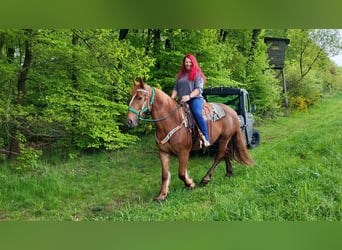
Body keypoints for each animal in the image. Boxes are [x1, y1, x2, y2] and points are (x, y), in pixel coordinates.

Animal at [126, 78, 254, 201]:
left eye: (139, 97)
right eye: (131, 96)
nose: (129, 121)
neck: (171, 120)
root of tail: (233, 112)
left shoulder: (184, 152)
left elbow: (181, 173)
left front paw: (190, 184)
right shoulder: (163, 152)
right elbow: (164, 175)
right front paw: (162, 195)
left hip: (225, 138)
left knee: (220, 155)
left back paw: (206, 178)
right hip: (220, 139)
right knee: (226, 153)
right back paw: (228, 173)